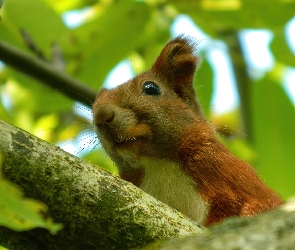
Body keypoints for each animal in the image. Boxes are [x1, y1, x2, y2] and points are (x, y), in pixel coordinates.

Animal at [93, 35, 284, 227]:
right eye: (94, 106)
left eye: (150, 88)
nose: (102, 115)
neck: (158, 163)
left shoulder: (220, 167)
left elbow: (248, 205)